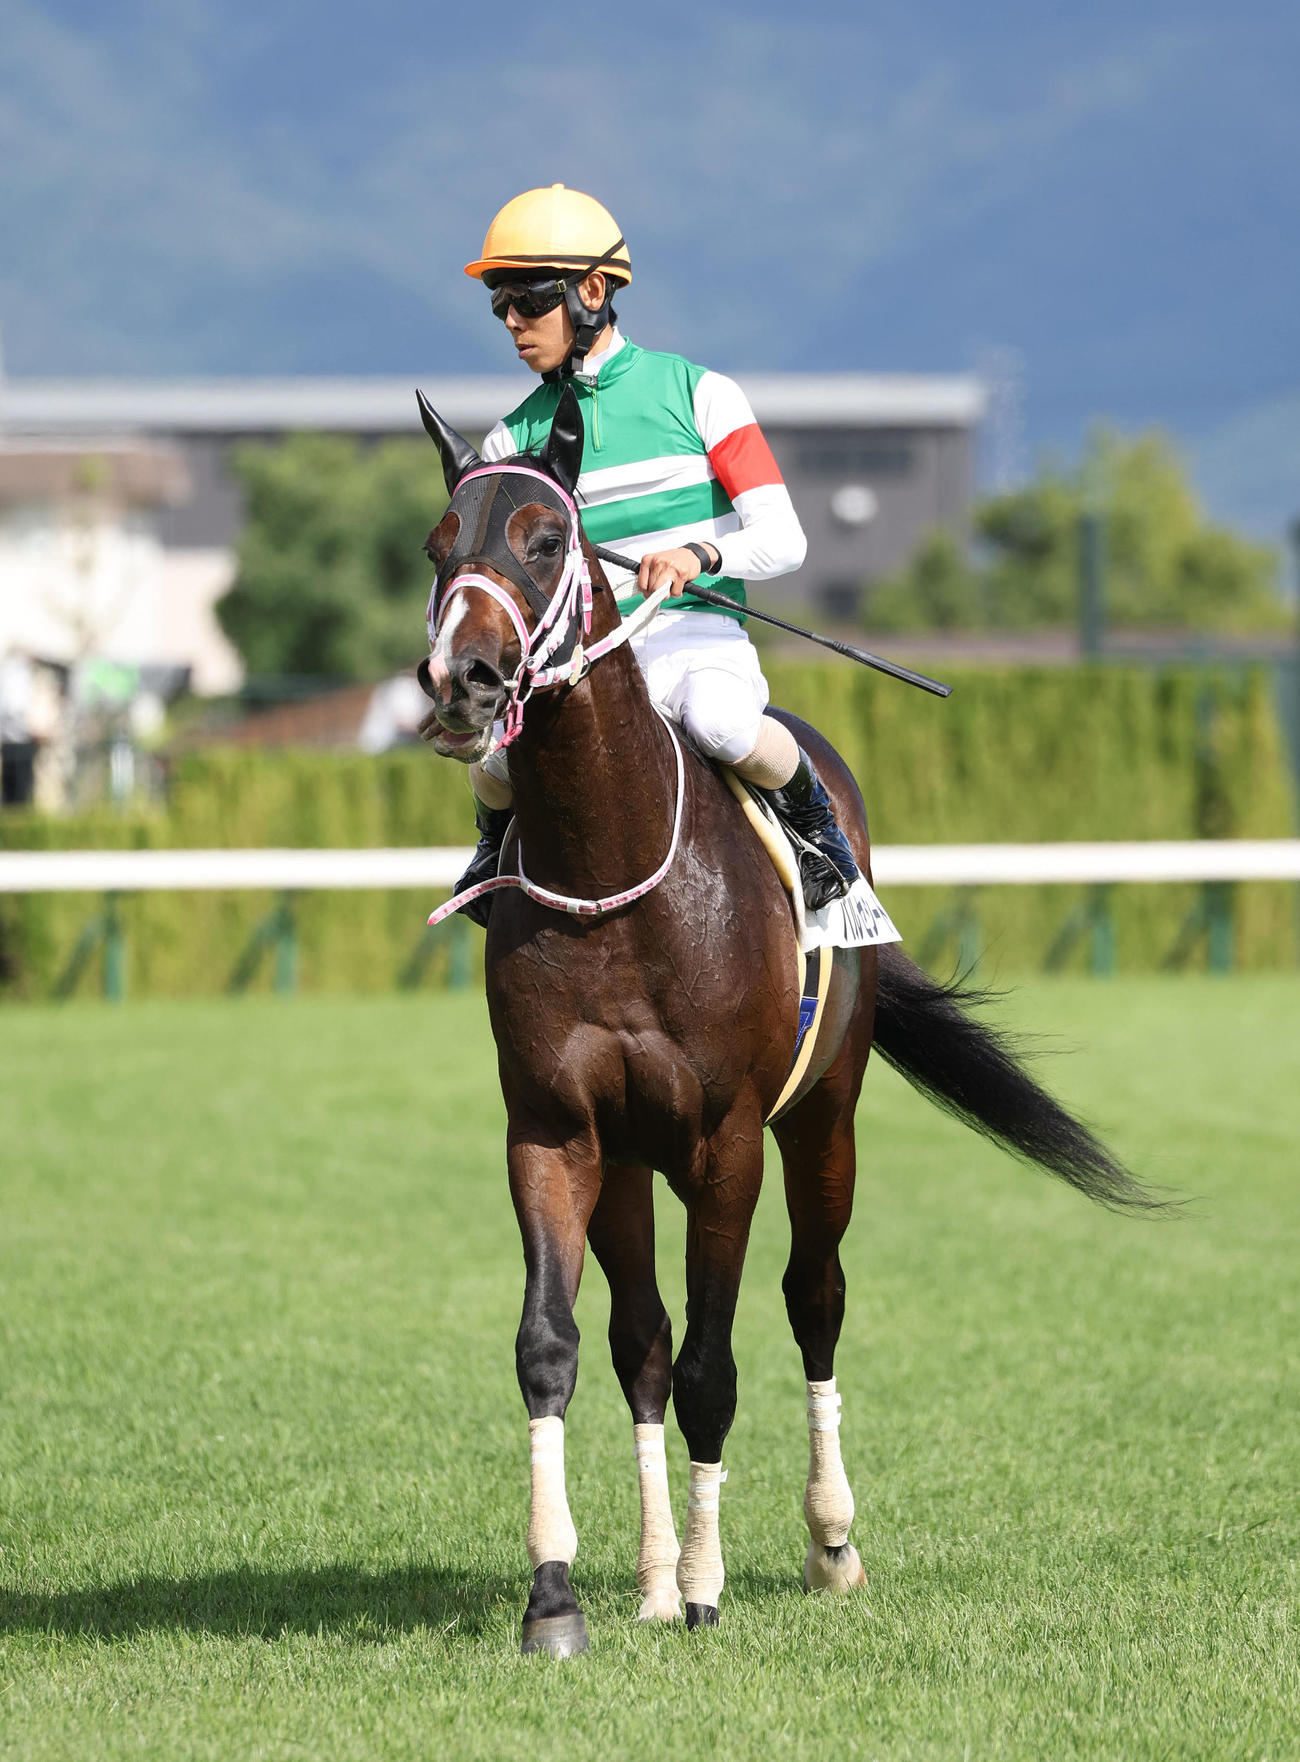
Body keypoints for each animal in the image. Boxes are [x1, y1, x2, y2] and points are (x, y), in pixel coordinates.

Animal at [414, 385, 1156, 1658]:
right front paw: (562, 1596)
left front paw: (708, 1586)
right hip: (630, 1162)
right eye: (436, 545)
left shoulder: (727, 1143)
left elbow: (716, 1363)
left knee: (815, 1299)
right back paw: (653, 1575)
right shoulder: (555, 1130)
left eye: (546, 538)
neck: (616, 867)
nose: (460, 680)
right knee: (640, 1340)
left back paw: (828, 1545)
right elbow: (559, 1345)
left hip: (824, 1123)